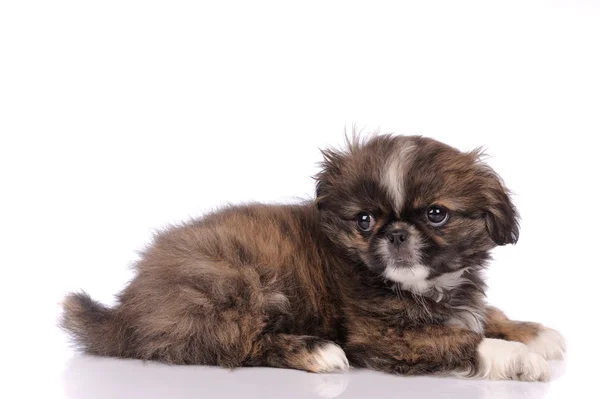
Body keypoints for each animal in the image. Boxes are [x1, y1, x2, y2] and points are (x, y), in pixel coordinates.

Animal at [62, 134, 568, 382]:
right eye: (364, 220)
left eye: (436, 214)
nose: (396, 233)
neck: (424, 285)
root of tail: (124, 313)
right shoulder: (386, 337)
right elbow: (467, 340)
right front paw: (520, 358)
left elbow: (484, 314)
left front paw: (533, 333)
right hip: (235, 285)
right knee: (240, 345)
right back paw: (317, 351)